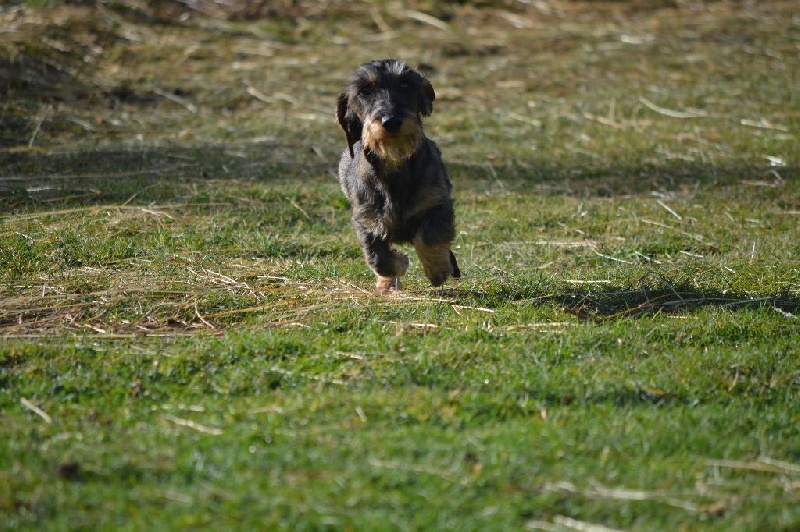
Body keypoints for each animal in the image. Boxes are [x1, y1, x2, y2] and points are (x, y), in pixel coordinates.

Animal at [336, 58, 460, 296]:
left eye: (405, 84)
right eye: (365, 90)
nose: (391, 121)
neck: (395, 162)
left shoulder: (437, 204)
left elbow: (429, 238)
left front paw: (438, 269)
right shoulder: (366, 220)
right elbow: (378, 258)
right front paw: (399, 266)